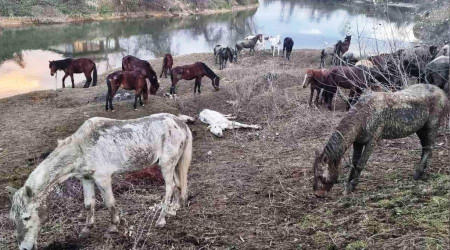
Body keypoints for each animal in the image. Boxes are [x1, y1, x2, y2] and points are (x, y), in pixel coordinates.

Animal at [9, 113, 193, 250]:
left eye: (26, 217)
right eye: (13, 219)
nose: (24, 247)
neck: (81, 148)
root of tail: (180, 124)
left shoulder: (103, 179)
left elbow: (109, 203)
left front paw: (113, 227)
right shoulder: (86, 179)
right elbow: (88, 204)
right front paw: (86, 229)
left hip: (166, 165)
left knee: (169, 188)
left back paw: (161, 219)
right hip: (172, 164)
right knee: (177, 186)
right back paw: (173, 210)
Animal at [312, 85, 450, 198]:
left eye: (320, 175)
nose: (318, 194)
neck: (363, 117)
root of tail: (443, 93)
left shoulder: (373, 140)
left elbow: (361, 164)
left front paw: (352, 185)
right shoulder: (358, 142)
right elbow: (354, 163)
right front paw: (347, 187)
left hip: (432, 124)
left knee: (429, 148)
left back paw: (418, 173)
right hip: (420, 128)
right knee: (425, 147)